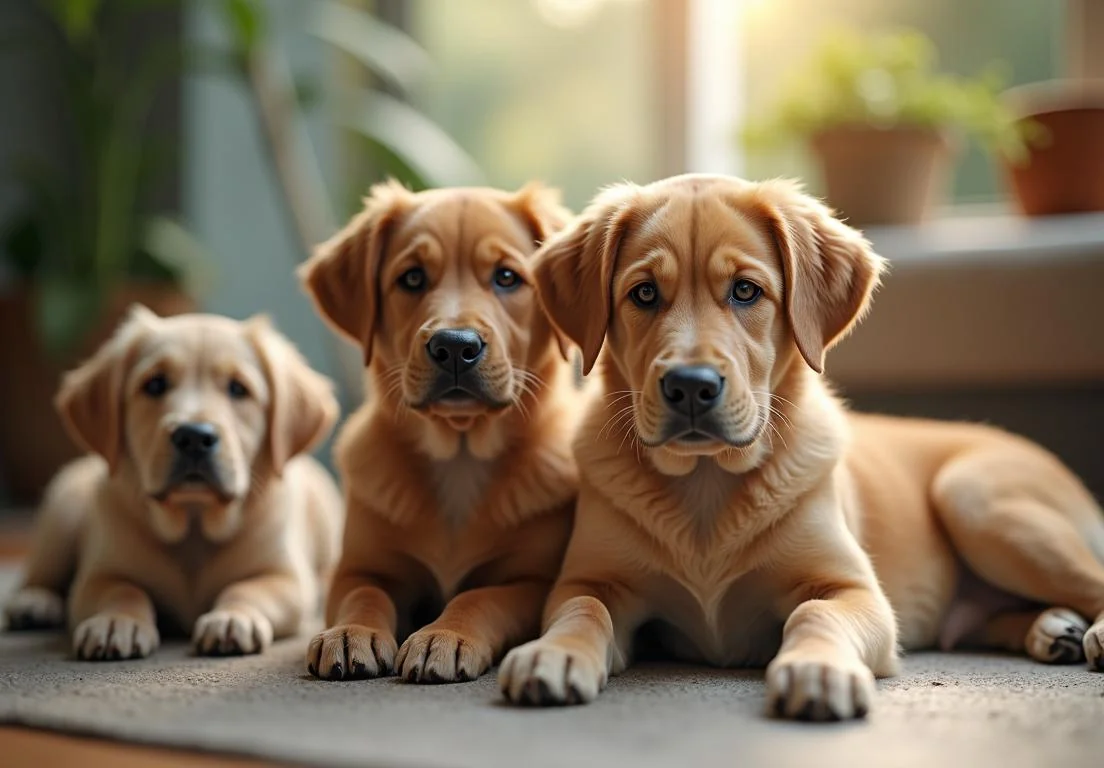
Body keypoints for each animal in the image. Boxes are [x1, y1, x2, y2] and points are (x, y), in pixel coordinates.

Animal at [2, 306, 342, 662]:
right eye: (155, 384)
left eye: (238, 389)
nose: (193, 436)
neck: (193, 525)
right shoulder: (99, 574)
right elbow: (122, 590)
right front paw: (116, 621)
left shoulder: (286, 577)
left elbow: (248, 588)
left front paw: (231, 618)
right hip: (62, 512)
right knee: (39, 573)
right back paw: (34, 602)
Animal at [298, 180, 582, 684]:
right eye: (412, 278)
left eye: (507, 277)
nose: (454, 346)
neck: (460, 457)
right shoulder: (356, 567)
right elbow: (364, 594)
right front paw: (351, 632)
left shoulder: (533, 580)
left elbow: (478, 597)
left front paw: (445, 635)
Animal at [499, 174, 1104, 719]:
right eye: (643, 293)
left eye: (746, 290)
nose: (691, 386)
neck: (705, 485)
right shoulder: (588, 579)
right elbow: (582, 608)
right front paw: (551, 653)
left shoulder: (854, 591)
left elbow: (814, 614)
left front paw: (818, 668)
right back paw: (1052, 628)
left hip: (975, 498)